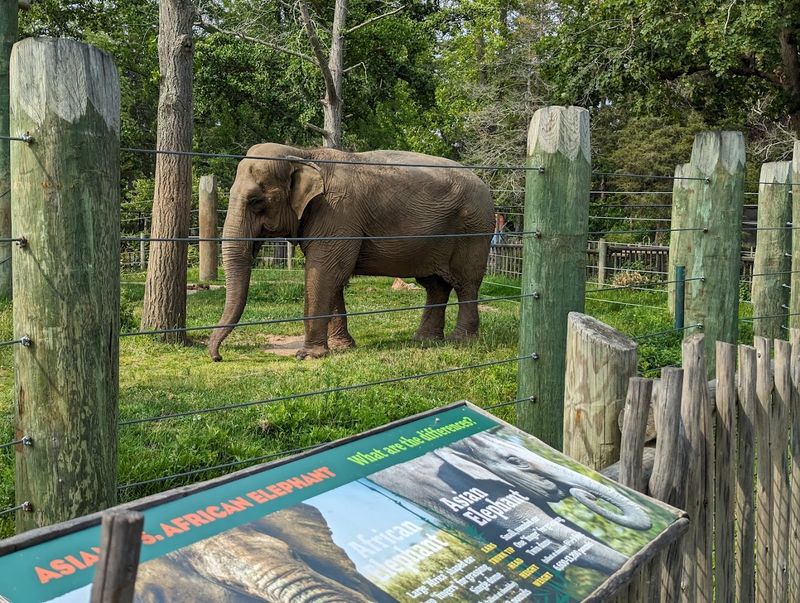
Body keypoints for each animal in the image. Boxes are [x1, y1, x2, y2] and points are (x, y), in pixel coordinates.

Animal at [207, 143, 494, 361]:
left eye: (256, 201)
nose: (218, 357)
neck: (304, 154)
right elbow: (330, 275)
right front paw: (341, 347)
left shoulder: (337, 213)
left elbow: (325, 271)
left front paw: (307, 356)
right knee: (435, 285)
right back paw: (425, 340)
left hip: (474, 230)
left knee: (466, 283)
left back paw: (461, 341)